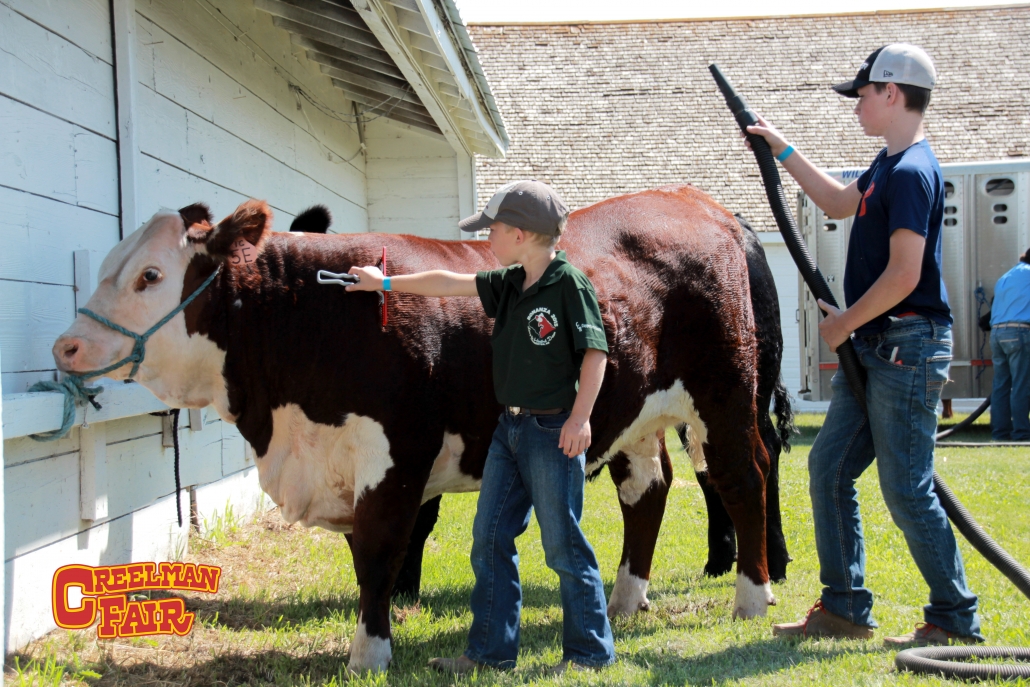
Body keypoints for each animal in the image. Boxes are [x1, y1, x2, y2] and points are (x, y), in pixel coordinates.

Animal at [52, 185, 774, 675]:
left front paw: (368, 654)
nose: (67, 345)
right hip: (633, 415)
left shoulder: (395, 456)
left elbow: (378, 552)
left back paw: (753, 595)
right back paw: (626, 598)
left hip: (725, 392)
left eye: (149, 276)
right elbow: (366, 557)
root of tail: (694, 201)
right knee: (647, 491)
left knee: (743, 477)